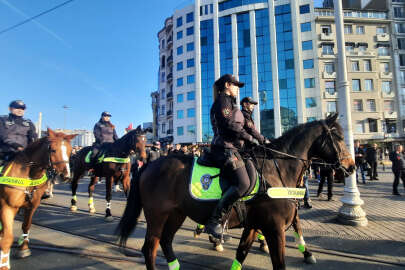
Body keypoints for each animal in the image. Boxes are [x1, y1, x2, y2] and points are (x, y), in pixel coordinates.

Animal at [0, 129, 76, 270]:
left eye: (70, 151)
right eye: (53, 150)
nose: (66, 176)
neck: (29, 175)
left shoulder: (32, 206)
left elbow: (26, 226)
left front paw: (23, 248)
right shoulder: (8, 207)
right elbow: (7, 238)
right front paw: (4, 264)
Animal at [114, 113, 354, 268]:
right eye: (339, 137)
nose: (351, 166)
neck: (276, 170)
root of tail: (149, 165)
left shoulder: (254, 225)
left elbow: (241, 254)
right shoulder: (274, 228)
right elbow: (279, 263)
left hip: (176, 214)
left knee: (165, 242)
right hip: (157, 216)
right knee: (149, 248)